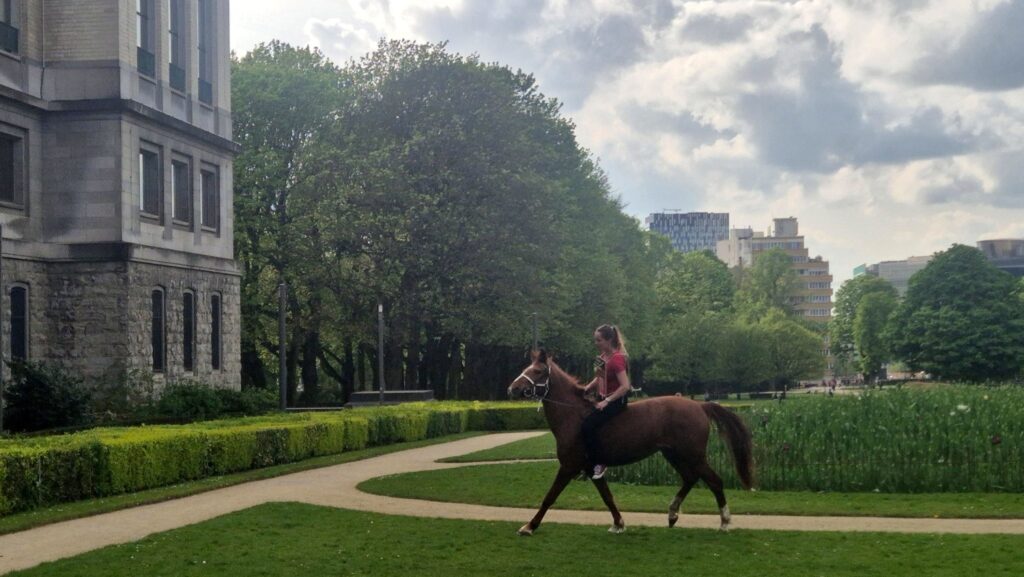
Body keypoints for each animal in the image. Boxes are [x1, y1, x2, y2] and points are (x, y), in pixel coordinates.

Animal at [506, 349, 754, 535]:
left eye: (538, 371)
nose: (512, 388)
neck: (575, 416)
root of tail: (699, 405)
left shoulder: (569, 466)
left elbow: (549, 497)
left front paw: (529, 526)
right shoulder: (591, 468)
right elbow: (607, 497)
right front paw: (618, 523)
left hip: (693, 455)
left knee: (714, 481)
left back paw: (724, 521)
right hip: (674, 454)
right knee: (690, 478)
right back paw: (672, 513)